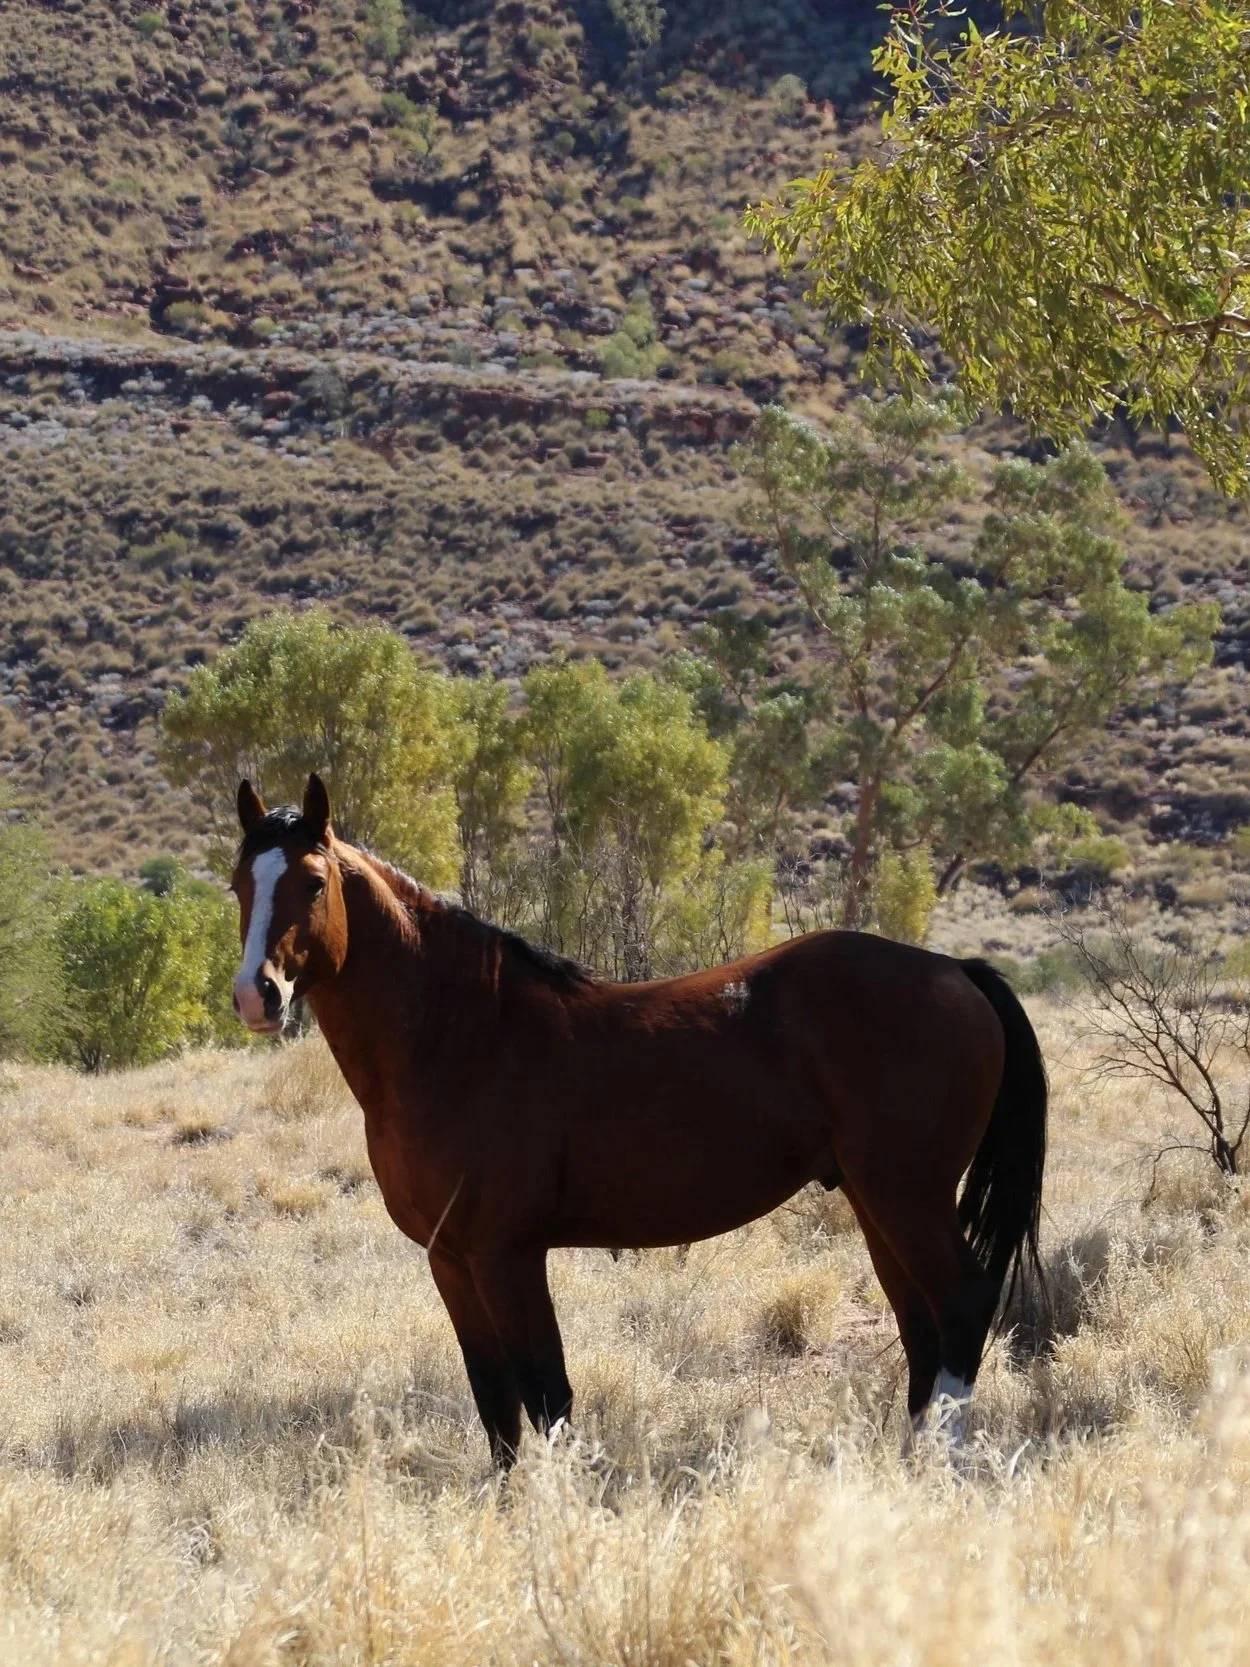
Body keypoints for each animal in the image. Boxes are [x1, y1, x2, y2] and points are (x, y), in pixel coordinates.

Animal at [230, 773, 1047, 1466]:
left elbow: (546, 1395)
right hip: (877, 1203)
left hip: (906, 1198)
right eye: (240, 884)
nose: (256, 996)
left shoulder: (508, 1255)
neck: (458, 1032)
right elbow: (496, 1406)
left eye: (312, 882)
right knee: (921, 1327)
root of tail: (956, 970)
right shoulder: (451, 1260)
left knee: (961, 1306)